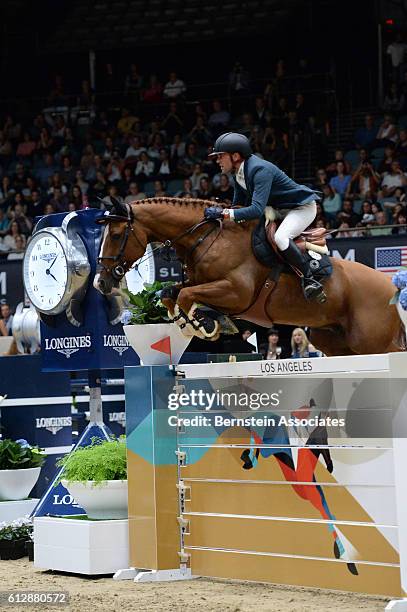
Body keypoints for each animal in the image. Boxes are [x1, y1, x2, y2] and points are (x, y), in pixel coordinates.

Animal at [95, 198, 404, 356]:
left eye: (116, 235)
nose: (101, 282)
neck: (208, 238)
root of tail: (391, 285)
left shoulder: (236, 293)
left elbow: (184, 294)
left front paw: (201, 324)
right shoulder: (202, 284)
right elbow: (170, 293)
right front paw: (203, 322)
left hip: (374, 344)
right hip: (335, 342)